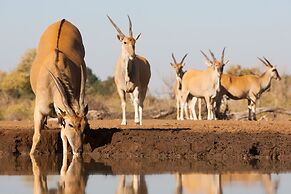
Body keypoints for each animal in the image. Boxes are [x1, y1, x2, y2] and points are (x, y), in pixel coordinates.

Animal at [30, 19, 89, 156]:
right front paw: (31, 154)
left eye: (84, 126)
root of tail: (63, 20)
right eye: (71, 125)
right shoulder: (39, 110)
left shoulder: (60, 114)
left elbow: (63, 137)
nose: (79, 150)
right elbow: (37, 136)